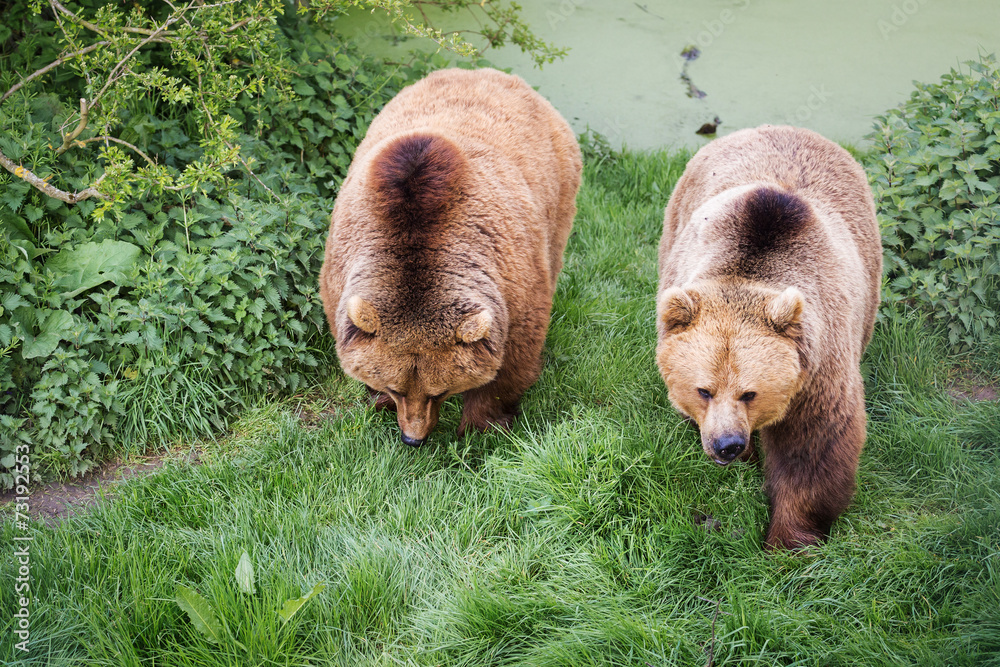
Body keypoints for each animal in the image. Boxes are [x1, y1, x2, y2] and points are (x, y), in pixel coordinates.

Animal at [319, 67, 582, 447]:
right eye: (397, 388)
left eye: (438, 391)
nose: (413, 438)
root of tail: (485, 72)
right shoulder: (342, 267)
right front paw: (376, 399)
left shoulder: (513, 283)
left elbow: (511, 360)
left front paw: (483, 424)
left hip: (558, 190)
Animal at [655, 125, 882, 550]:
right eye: (703, 390)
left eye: (750, 392)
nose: (728, 445)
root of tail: (788, 128)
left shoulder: (816, 368)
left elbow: (811, 449)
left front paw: (791, 540)